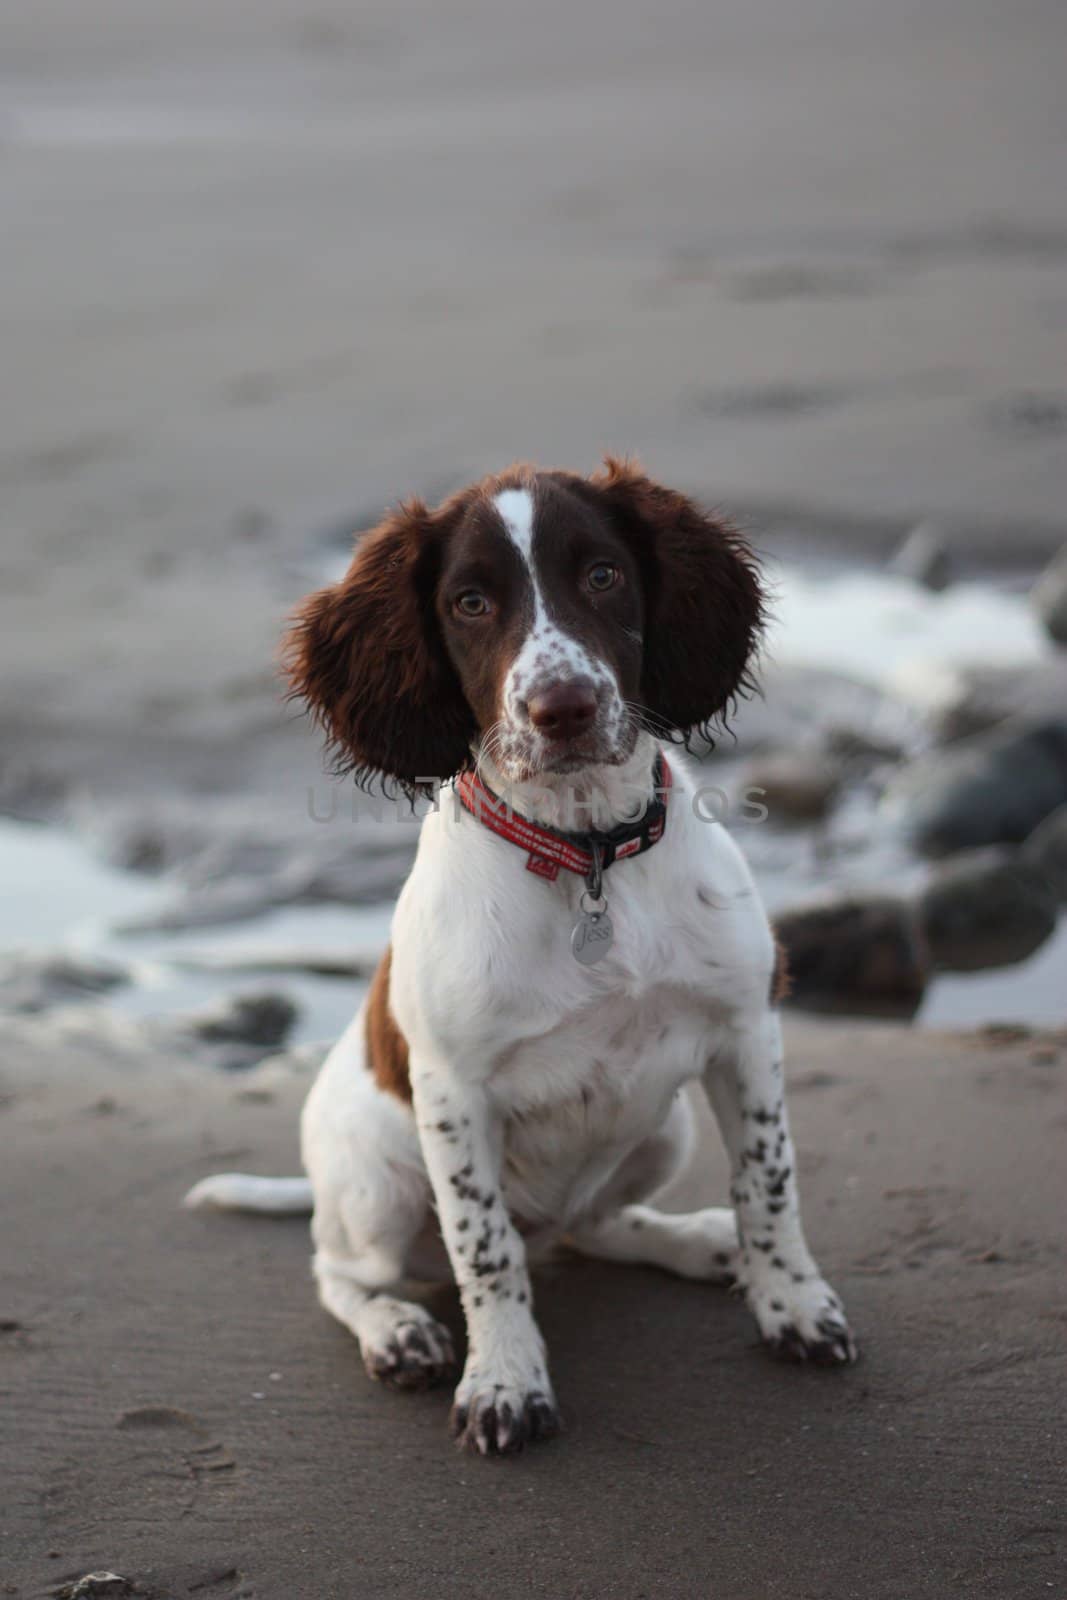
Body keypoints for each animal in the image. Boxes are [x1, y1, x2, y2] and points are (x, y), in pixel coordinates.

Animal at [185, 460, 857, 1452]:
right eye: (469, 602)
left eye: (603, 576)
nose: (563, 709)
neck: (585, 855)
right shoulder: (453, 1095)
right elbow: (485, 1249)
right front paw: (503, 1381)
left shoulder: (745, 1030)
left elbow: (768, 1183)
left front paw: (794, 1306)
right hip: (377, 1190)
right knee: (342, 1272)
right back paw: (399, 1333)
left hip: (663, 1129)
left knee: (593, 1225)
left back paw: (697, 1241)